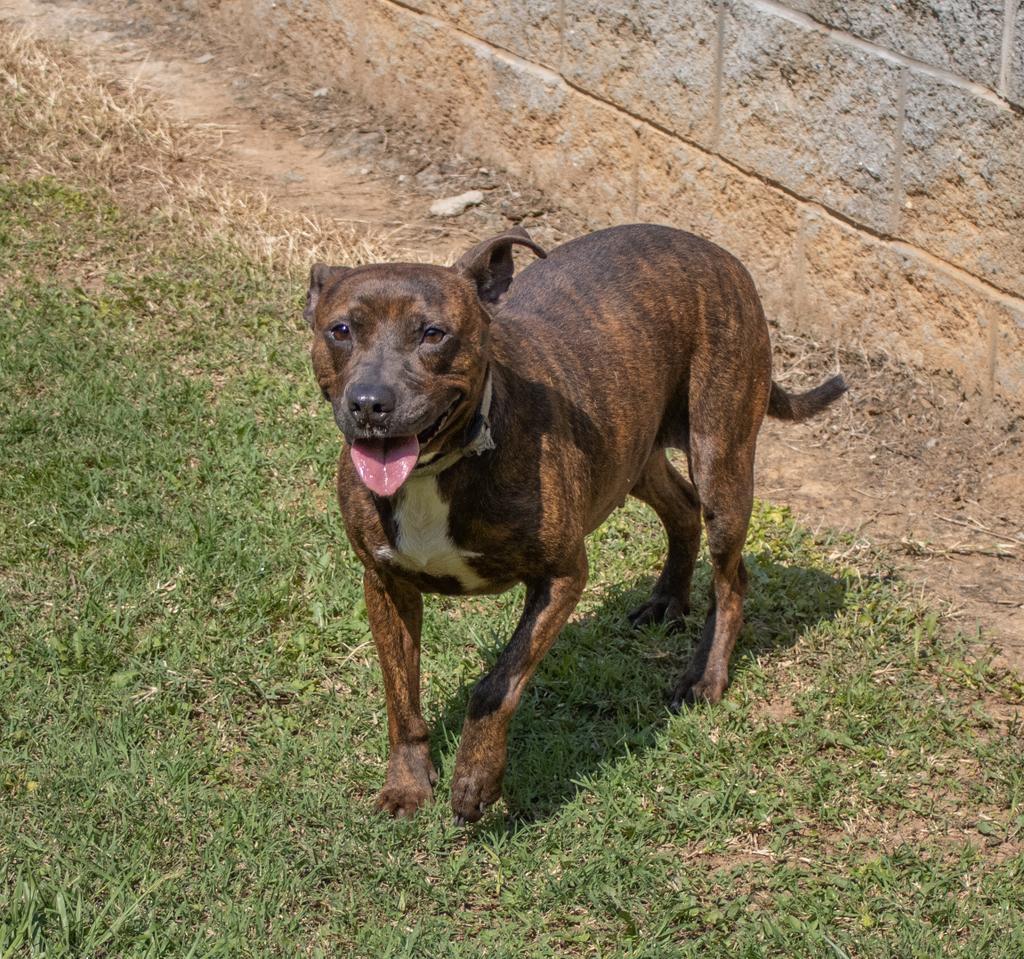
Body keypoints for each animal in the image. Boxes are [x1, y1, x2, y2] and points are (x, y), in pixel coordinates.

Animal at [305, 224, 847, 822]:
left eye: (433, 334)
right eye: (340, 330)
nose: (370, 403)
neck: (442, 466)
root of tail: (715, 250)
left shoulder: (561, 576)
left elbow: (497, 683)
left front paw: (475, 780)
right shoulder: (385, 583)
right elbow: (401, 694)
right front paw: (407, 783)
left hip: (721, 463)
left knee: (731, 578)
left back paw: (705, 676)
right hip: (633, 453)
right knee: (682, 509)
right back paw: (667, 599)